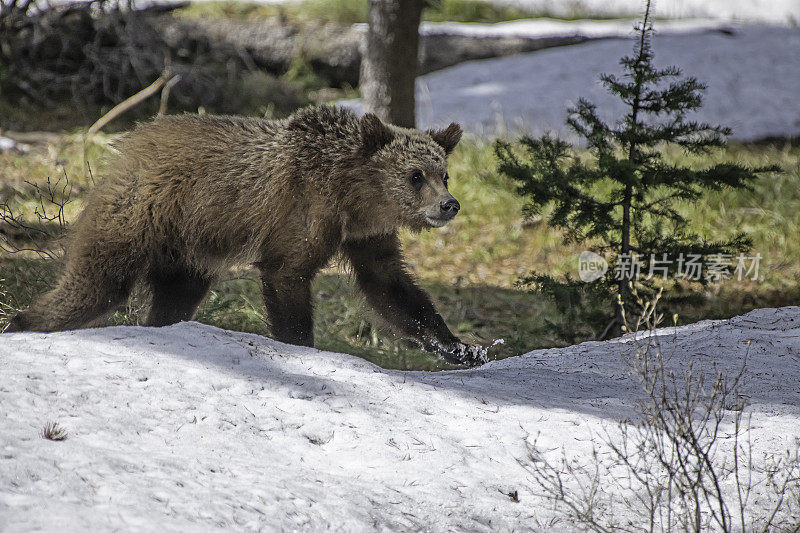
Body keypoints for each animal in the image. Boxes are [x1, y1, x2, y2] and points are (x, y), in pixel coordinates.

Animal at [4, 107, 488, 366]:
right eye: (415, 175)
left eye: (444, 173)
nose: (449, 204)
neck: (352, 195)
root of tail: (130, 143)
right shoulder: (302, 212)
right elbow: (287, 275)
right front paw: (300, 346)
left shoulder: (368, 234)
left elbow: (391, 286)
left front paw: (460, 347)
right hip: (141, 215)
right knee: (96, 282)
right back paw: (22, 323)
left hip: (186, 253)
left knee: (174, 298)